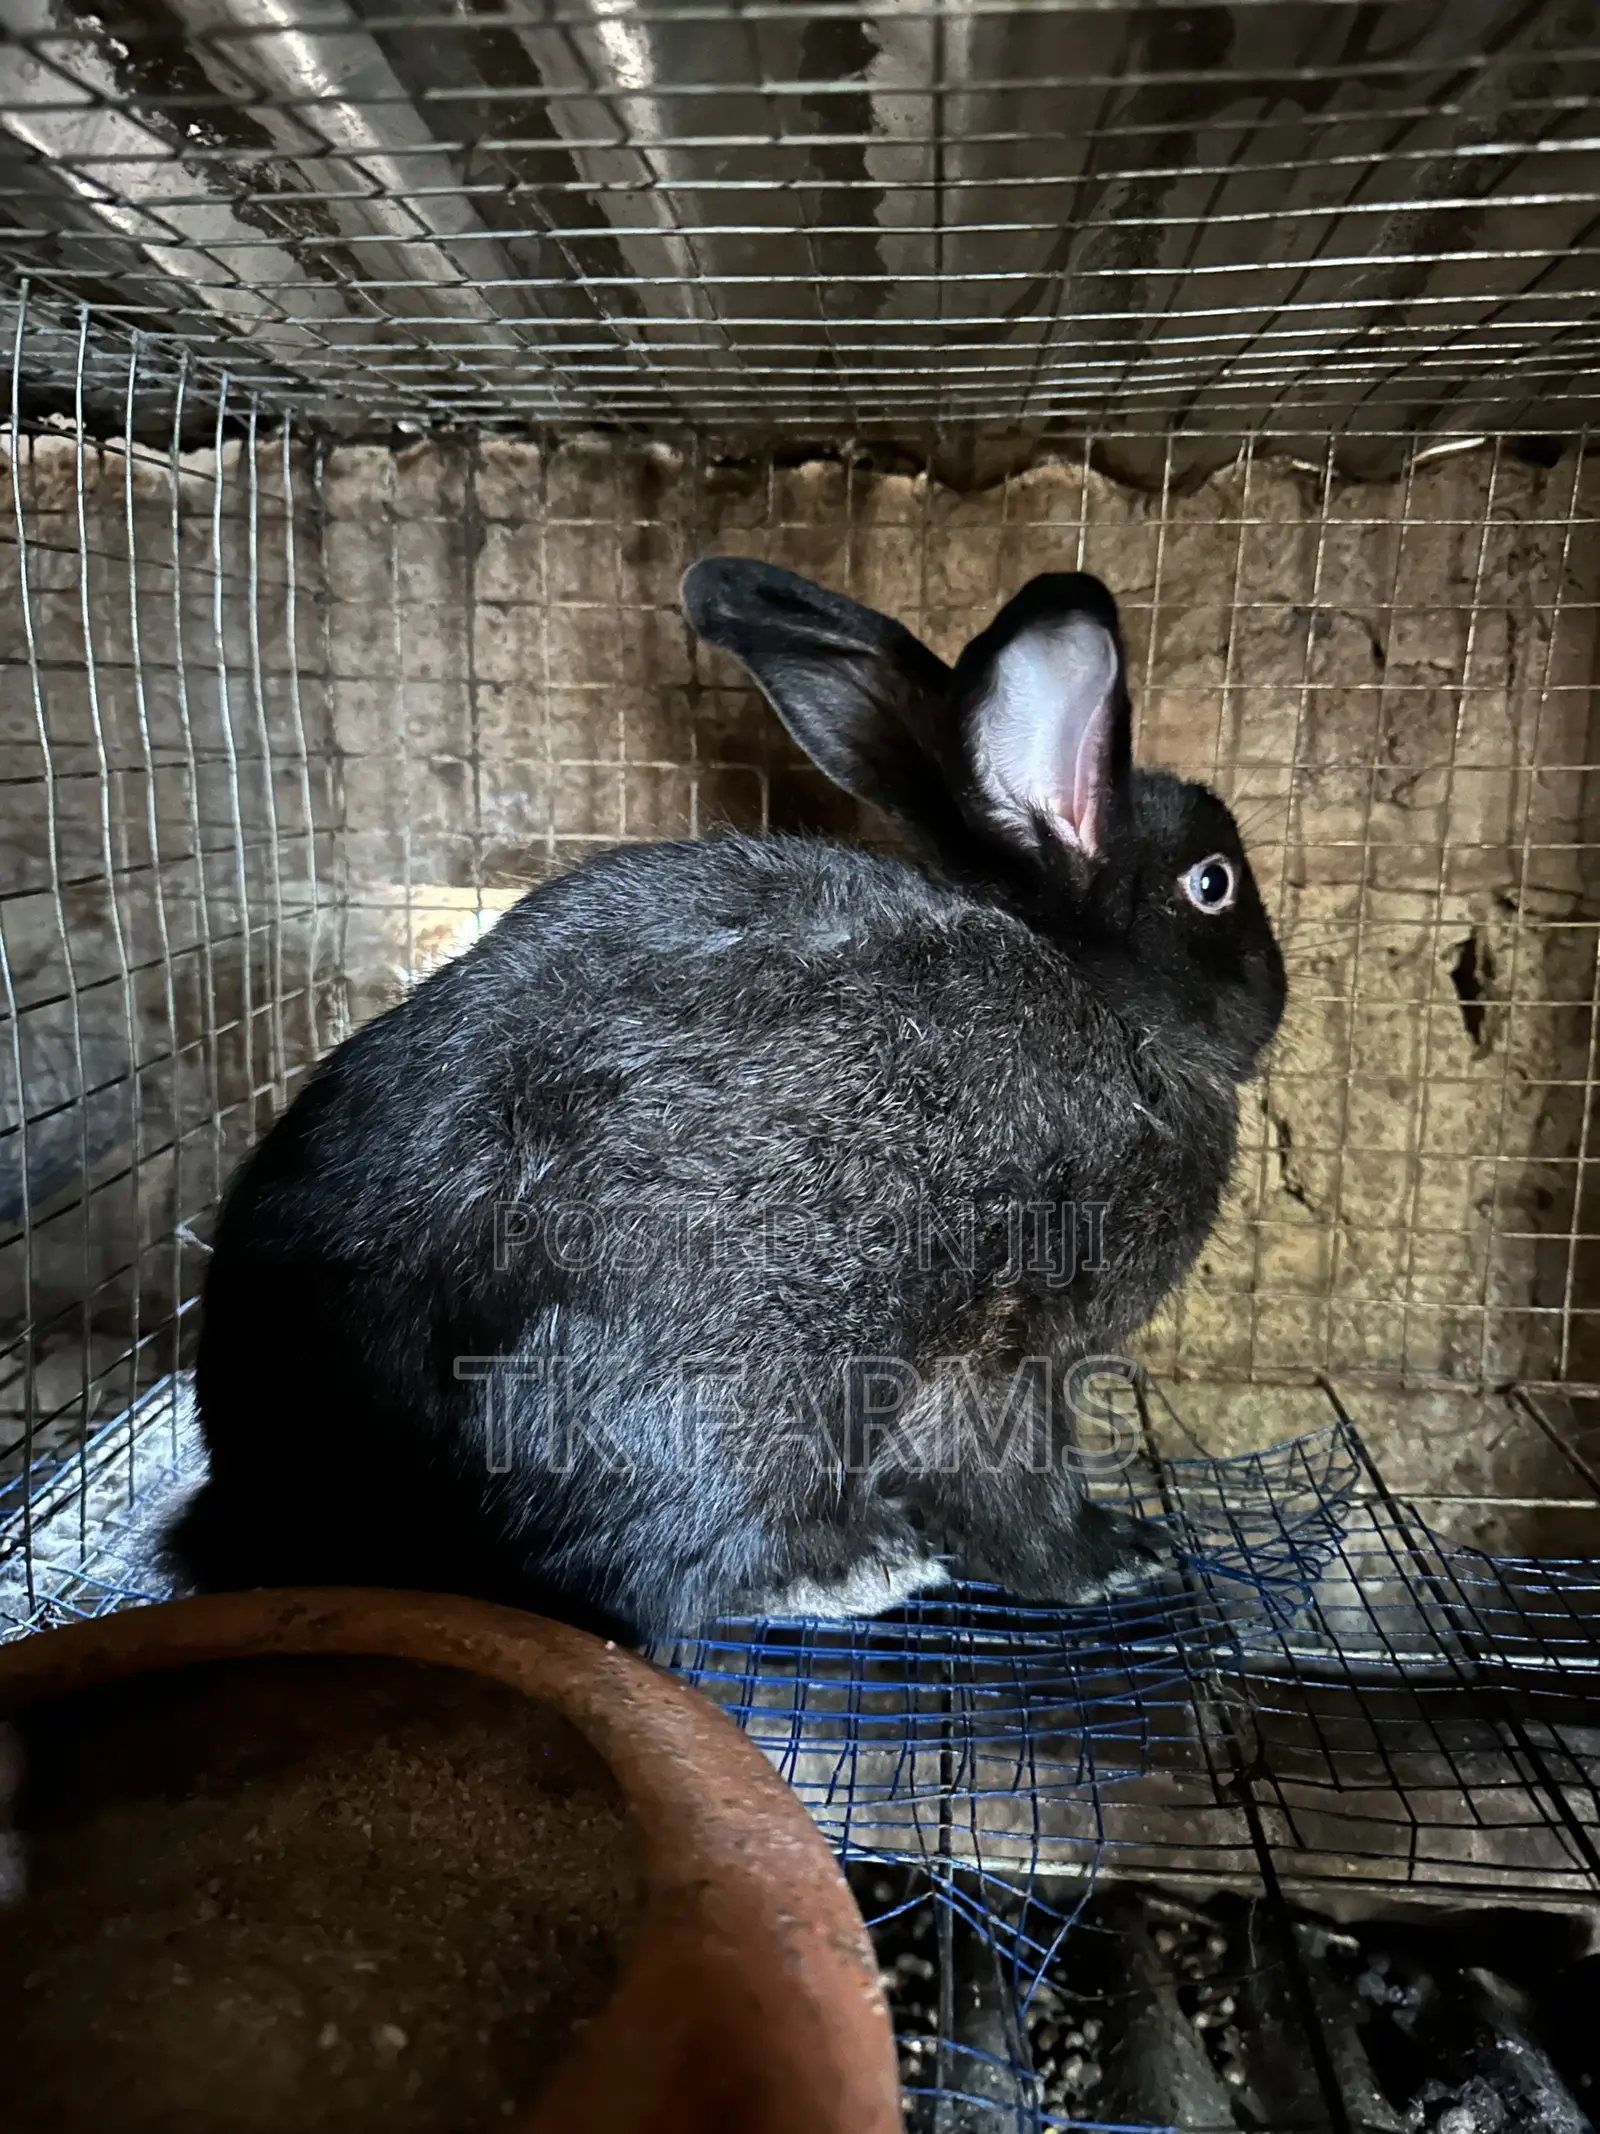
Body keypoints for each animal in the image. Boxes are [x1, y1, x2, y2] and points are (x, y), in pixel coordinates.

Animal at [167, 563, 1285, 1644]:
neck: (1101, 997)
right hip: (722, 1400)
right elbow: (1009, 1484)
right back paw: (863, 1568)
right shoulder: (1014, 1346)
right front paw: (1116, 1557)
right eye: (1214, 883)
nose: (1279, 993)